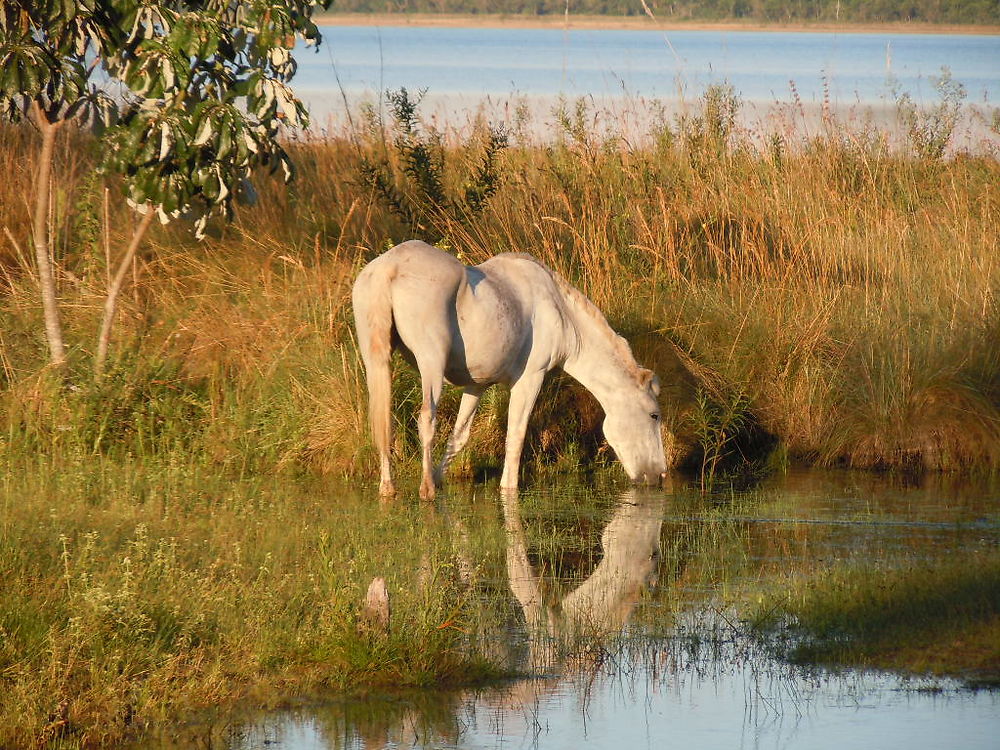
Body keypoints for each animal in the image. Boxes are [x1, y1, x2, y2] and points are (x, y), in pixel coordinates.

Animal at [348, 241, 668, 500]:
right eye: (654, 415)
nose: (660, 474)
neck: (561, 313)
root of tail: (388, 267)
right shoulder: (530, 379)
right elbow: (516, 434)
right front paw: (508, 488)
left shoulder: (477, 384)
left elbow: (460, 435)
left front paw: (441, 479)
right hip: (431, 363)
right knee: (427, 418)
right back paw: (426, 490)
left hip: (376, 361)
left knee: (384, 422)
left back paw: (389, 488)